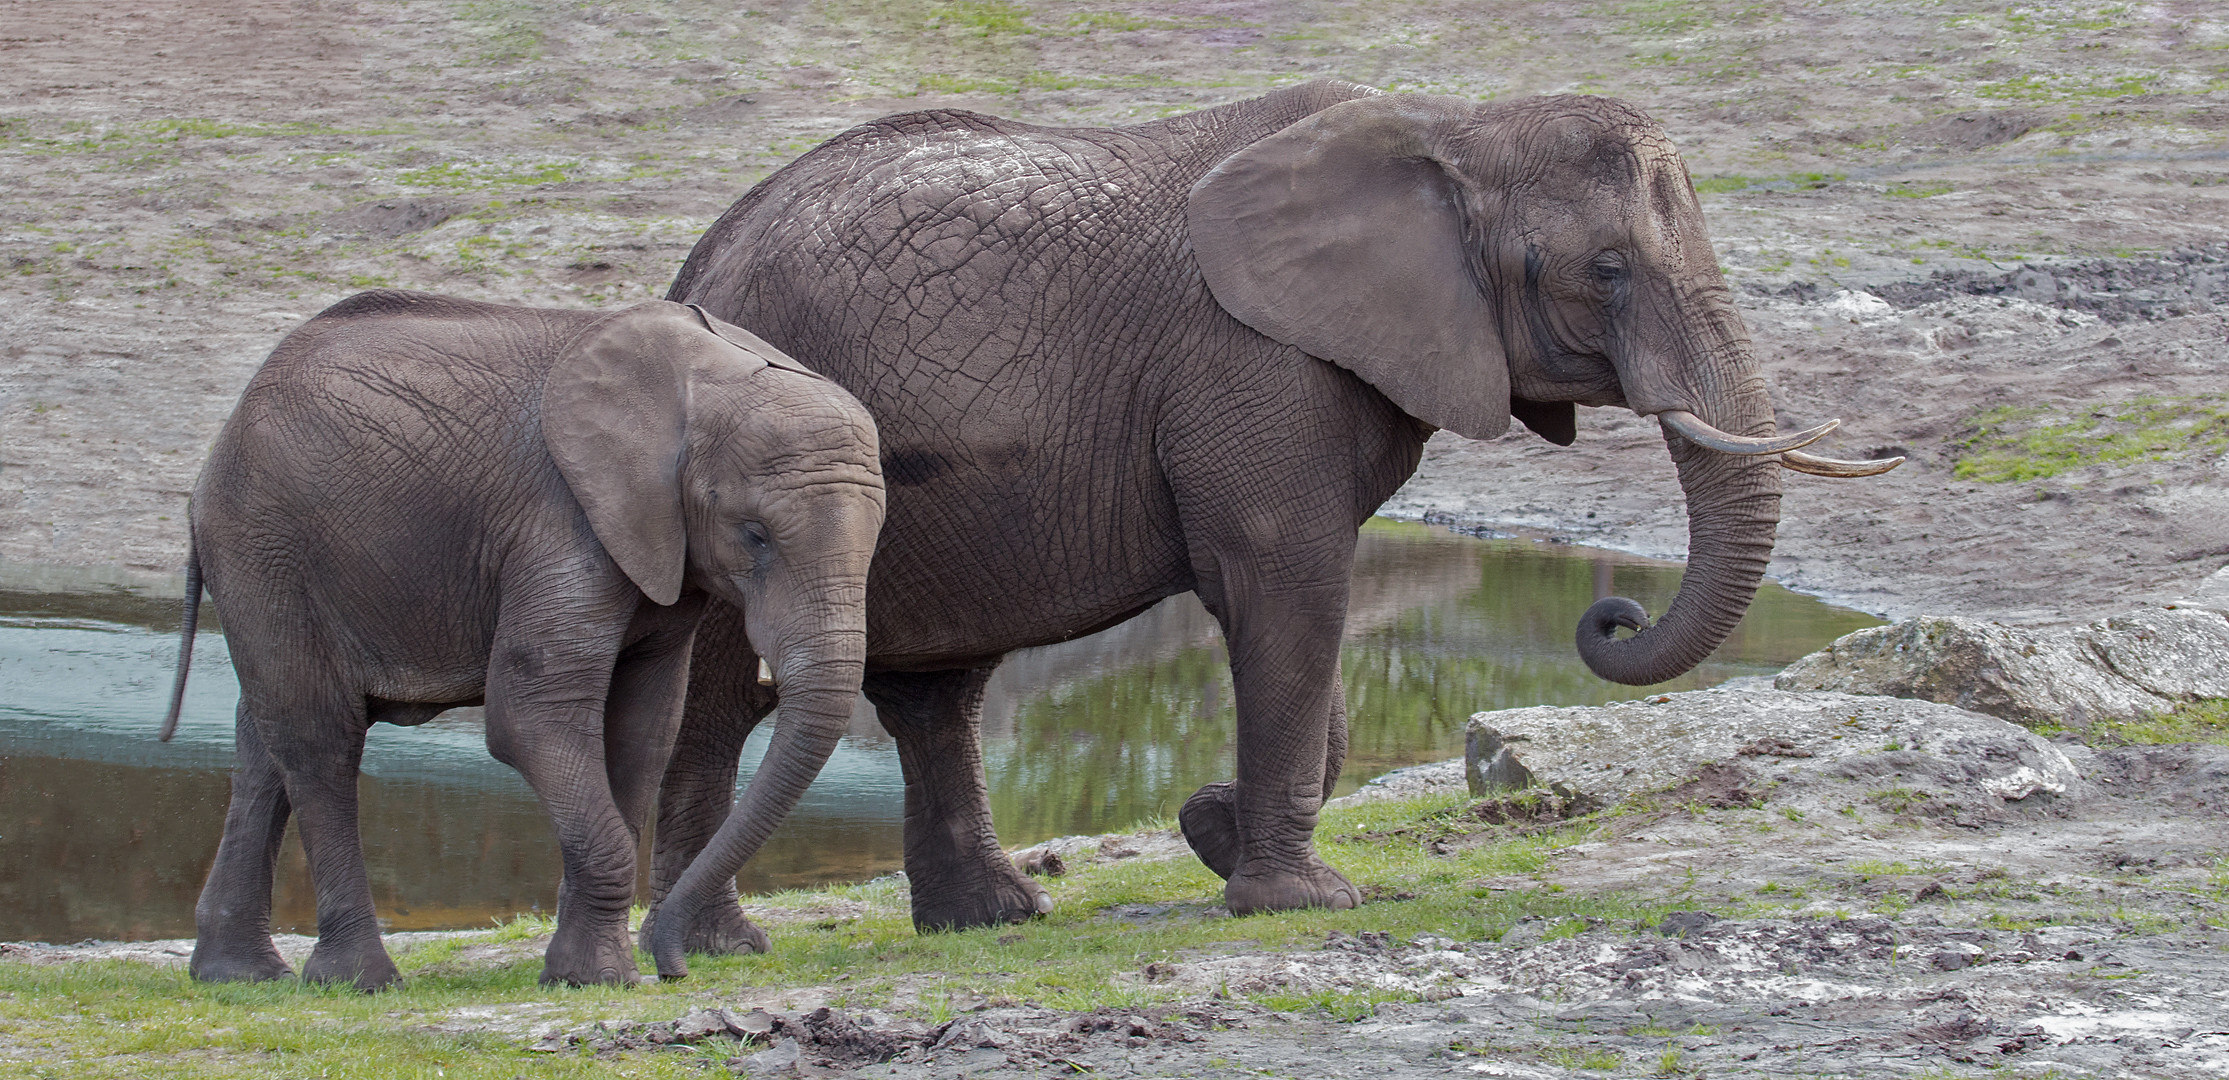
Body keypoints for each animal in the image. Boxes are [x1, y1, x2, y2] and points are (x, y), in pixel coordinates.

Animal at [159, 289, 878, 988]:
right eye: (755, 534)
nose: (673, 967)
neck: (711, 375)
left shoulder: (658, 544)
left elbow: (643, 729)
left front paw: (583, 976)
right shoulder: (563, 519)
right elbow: (530, 714)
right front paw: (608, 979)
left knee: (265, 742)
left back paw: (239, 977)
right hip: (261, 544)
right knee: (320, 740)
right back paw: (359, 983)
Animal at [641, 77, 1899, 953]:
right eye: (1606, 269)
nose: (1614, 618)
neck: (1455, 133)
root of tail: (693, 264)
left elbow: (1303, 608)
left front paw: (1211, 831)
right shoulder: (1254, 369)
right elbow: (1288, 587)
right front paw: (1302, 897)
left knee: (939, 693)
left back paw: (993, 921)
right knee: (723, 692)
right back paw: (718, 945)